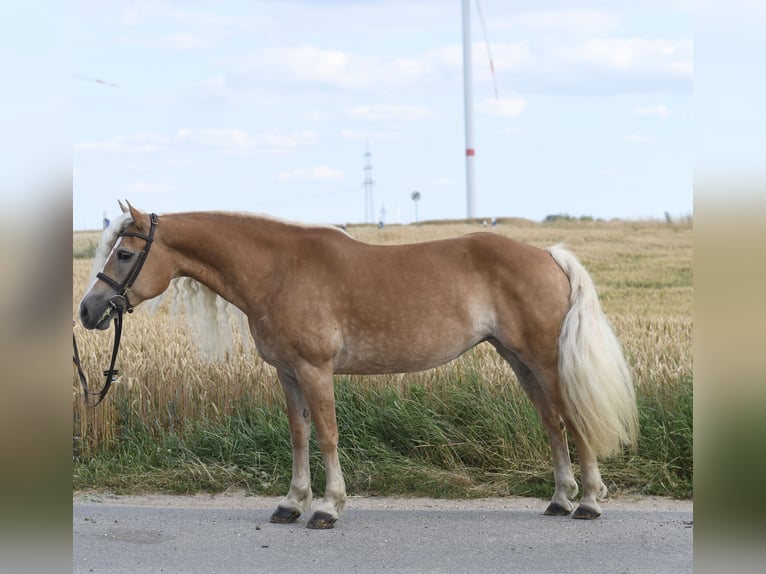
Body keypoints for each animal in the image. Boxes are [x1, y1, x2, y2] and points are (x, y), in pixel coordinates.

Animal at [79, 201, 638, 529]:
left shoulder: (315, 369)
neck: (277, 271)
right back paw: (561, 498)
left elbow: (327, 434)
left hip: (545, 361)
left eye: (124, 254)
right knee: (553, 425)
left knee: (573, 421)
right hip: (520, 362)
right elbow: (299, 435)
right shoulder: (287, 373)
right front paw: (291, 503)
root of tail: (547, 255)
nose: (88, 311)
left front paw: (327, 507)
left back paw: (588, 501)